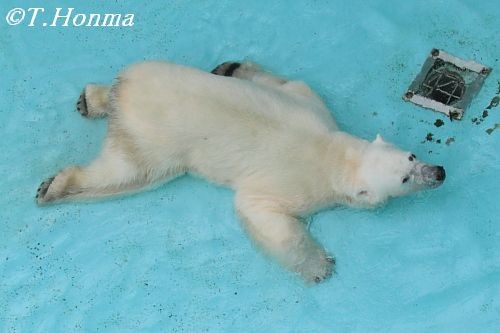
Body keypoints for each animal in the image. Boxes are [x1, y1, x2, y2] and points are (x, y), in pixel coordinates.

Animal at [35, 60, 446, 282]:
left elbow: (289, 83)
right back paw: (54, 187)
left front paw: (233, 66)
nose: (439, 172)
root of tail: (127, 95)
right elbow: (263, 215)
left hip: (153, 71)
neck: (335, 155)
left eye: (412, 157)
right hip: (155, 141)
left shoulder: (313, 108)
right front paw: (320, 267)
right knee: (131, 173)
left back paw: (93, 98)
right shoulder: (297, 184)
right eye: (405, 179)